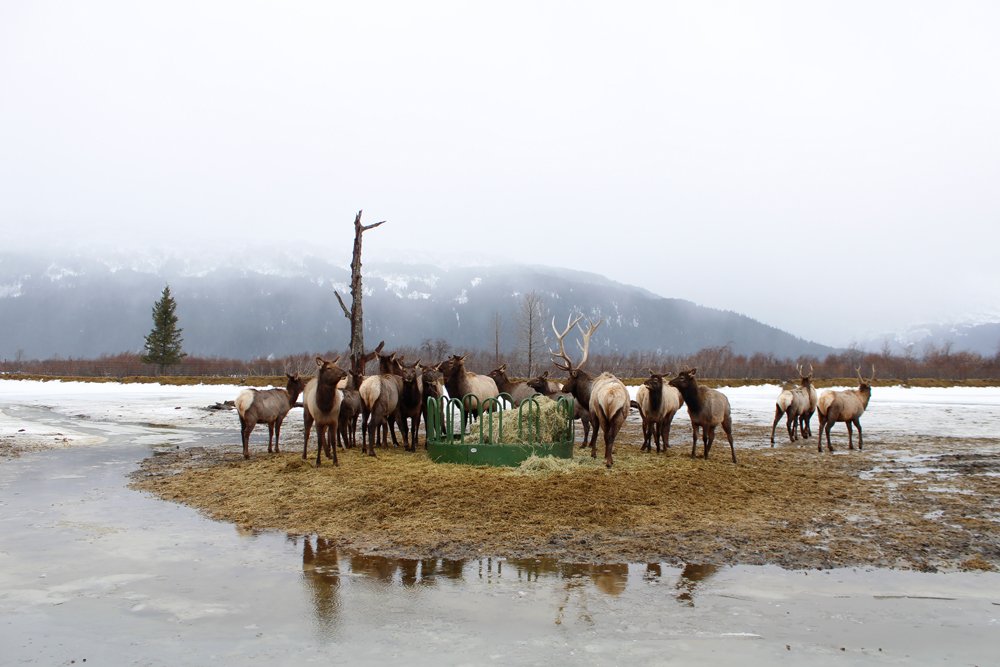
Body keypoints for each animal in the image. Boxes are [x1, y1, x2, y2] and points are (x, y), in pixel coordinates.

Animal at [552, 314, 628, 468]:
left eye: (569, 377)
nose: (563, 388)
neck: (587, 394)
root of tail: (612, 396)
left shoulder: (592, 411)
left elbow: (595, 432)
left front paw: (593, 453)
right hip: (620, 415)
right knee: (612, 436)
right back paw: (609, 458)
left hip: (602, 412)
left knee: (606, 435)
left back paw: (607, 461)